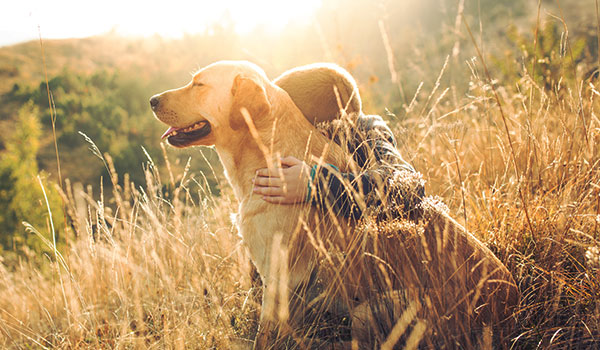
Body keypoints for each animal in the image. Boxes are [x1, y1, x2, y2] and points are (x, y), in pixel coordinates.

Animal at [151, 61, 520, 348]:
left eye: (199, 84)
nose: (152, 100)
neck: (267, 152)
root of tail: (509, 308)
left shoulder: (281, 281)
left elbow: (265, 337)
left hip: (372, 310)